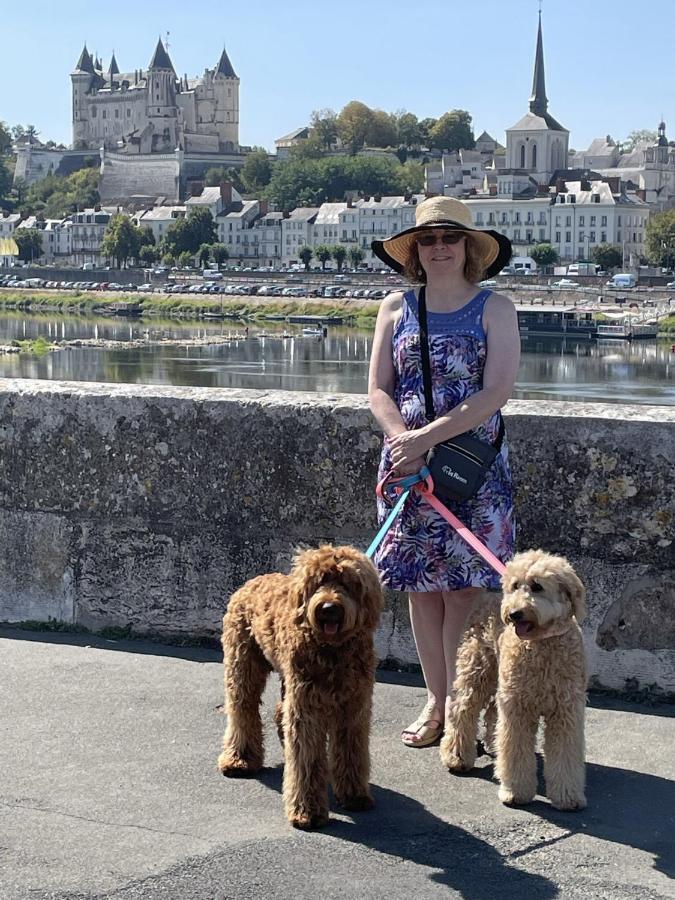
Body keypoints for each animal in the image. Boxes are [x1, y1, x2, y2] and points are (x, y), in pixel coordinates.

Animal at [218, 540, 386, 828]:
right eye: (318, 582)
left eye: (348, 583)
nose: (329, 608)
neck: (333, 650)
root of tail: (253, 580)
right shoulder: (308, 709)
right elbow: (307, 757)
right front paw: (307, 811)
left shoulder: (354, 707)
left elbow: (351, 750)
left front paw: (355, 795)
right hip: (243, 664)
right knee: (243, 709)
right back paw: (239, 759)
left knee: (279, 711)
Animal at [440, 544, 588, 812]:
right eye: (515, 585)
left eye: (537, 586)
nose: (514, 613)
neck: (542, 643)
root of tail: (487, 597)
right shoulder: (518, 708)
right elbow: (515, 750)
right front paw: (515, 792)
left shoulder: (566, 710)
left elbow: (565, 754)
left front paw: (567, 795)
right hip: (477, 673)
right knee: (462, 711)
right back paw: (456, 756)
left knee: (491, 713)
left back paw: (491, 744)